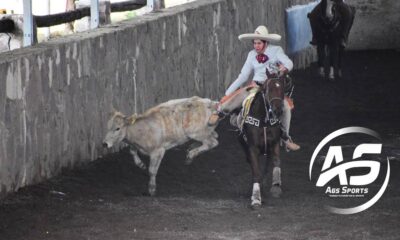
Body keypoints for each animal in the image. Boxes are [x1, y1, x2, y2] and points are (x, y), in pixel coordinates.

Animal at [239, 78, 286, 208]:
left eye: (283, 89)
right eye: (269, 89)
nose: (278, 110)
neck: (264, 122)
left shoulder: (274, 143)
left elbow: (276, 162)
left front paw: (276, 187)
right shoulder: (252, 147)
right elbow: (256, 171)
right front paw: (256, 198)